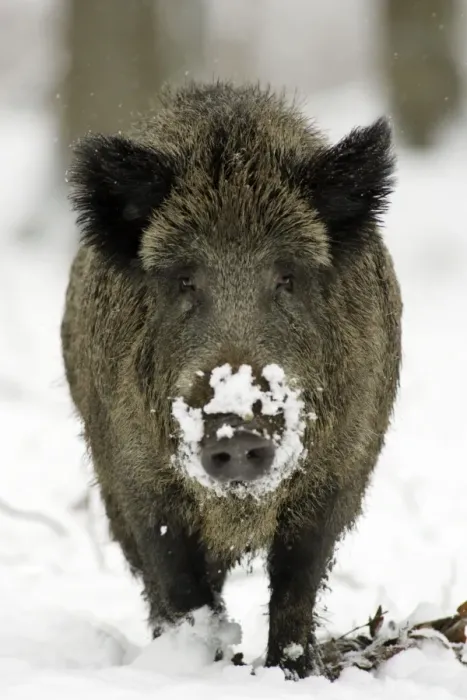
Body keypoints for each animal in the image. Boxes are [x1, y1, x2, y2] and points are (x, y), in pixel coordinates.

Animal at [61, 81, 402, 679]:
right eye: (184, 280)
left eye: (286, 277)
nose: (237, 430)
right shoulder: (138, 478)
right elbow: (180, 582)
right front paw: (203, 667)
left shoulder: (341, 472)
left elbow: (296, 582)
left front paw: (293, 674)